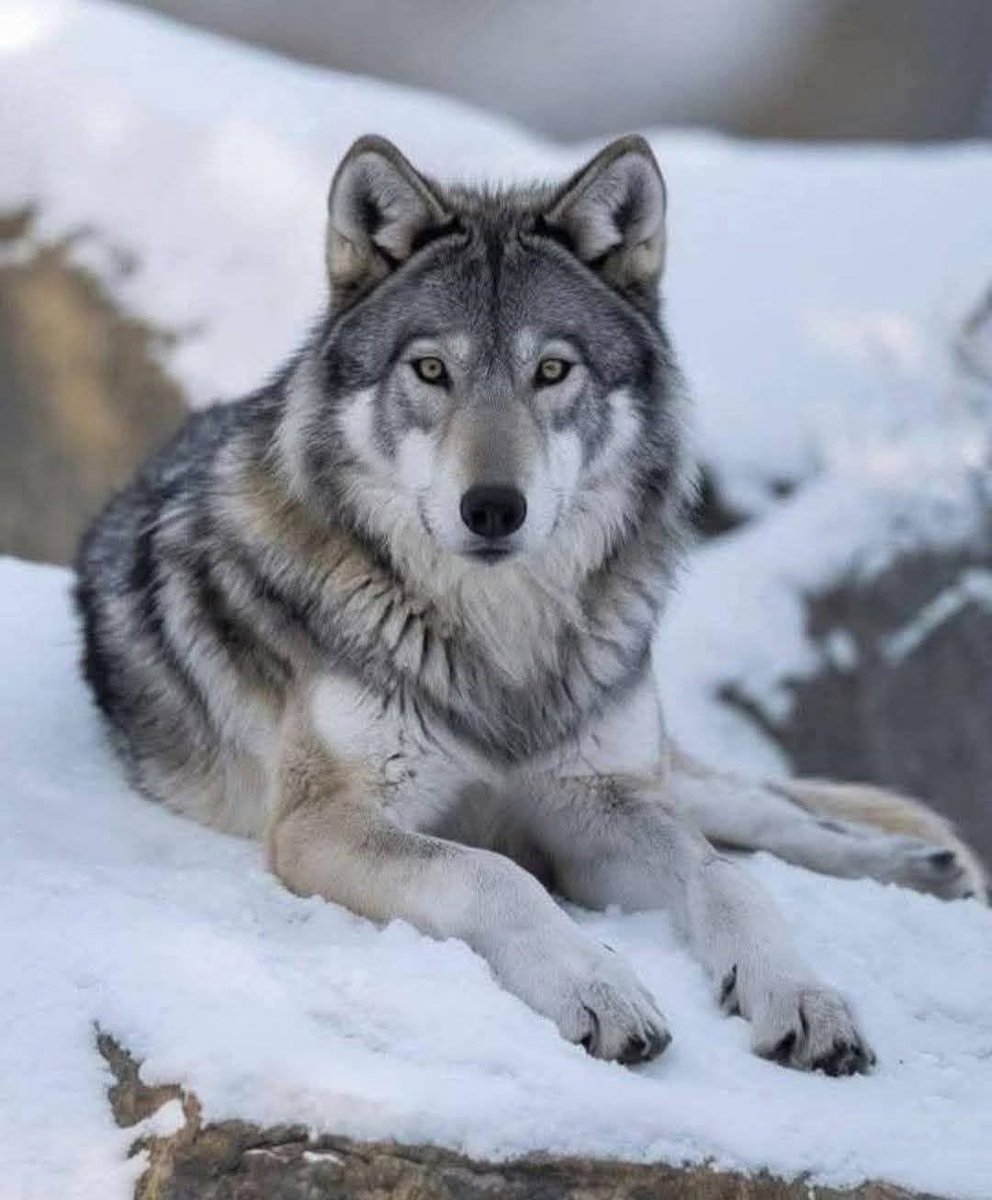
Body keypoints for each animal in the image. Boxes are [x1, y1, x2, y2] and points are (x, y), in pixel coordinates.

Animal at [75, 135, 986, 1073]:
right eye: (431, 370)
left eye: (552, 370)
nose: (492, 508)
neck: (497, 632)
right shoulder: (321, 826)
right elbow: (496, 873)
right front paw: (601, 988)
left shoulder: (594, 804)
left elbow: (724, 878)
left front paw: (801, 994)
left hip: (647, 764)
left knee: (759, 810)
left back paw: (921, 862)